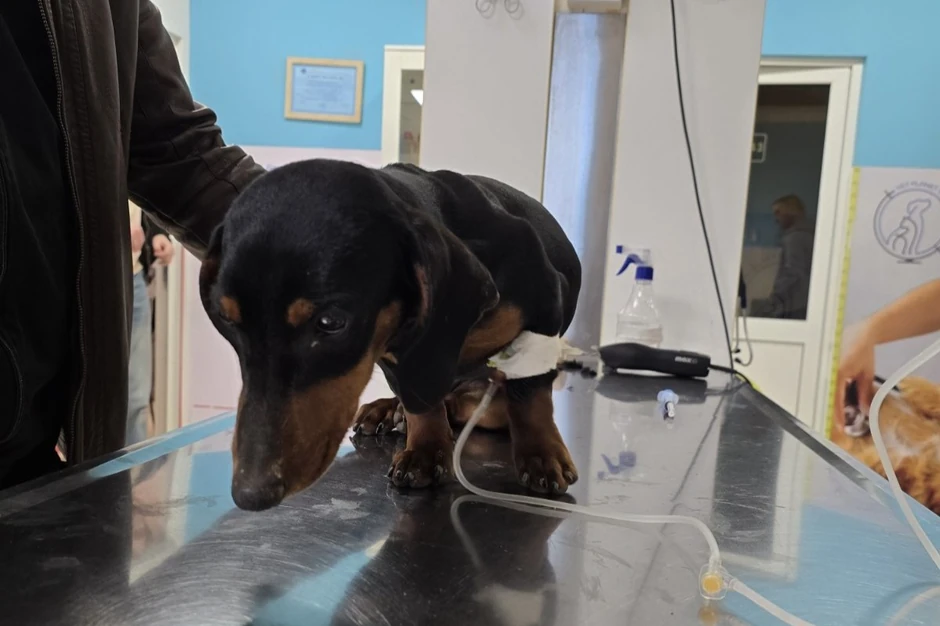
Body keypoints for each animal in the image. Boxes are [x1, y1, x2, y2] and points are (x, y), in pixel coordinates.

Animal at [200, 160, 581, 511]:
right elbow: (419, 403)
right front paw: (425, 449)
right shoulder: (399, 353)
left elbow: (530, 396)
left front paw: (541, 454)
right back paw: (388, 409)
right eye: (227, 319)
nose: (250, 494)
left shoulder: (548, 299)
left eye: (330, 322)